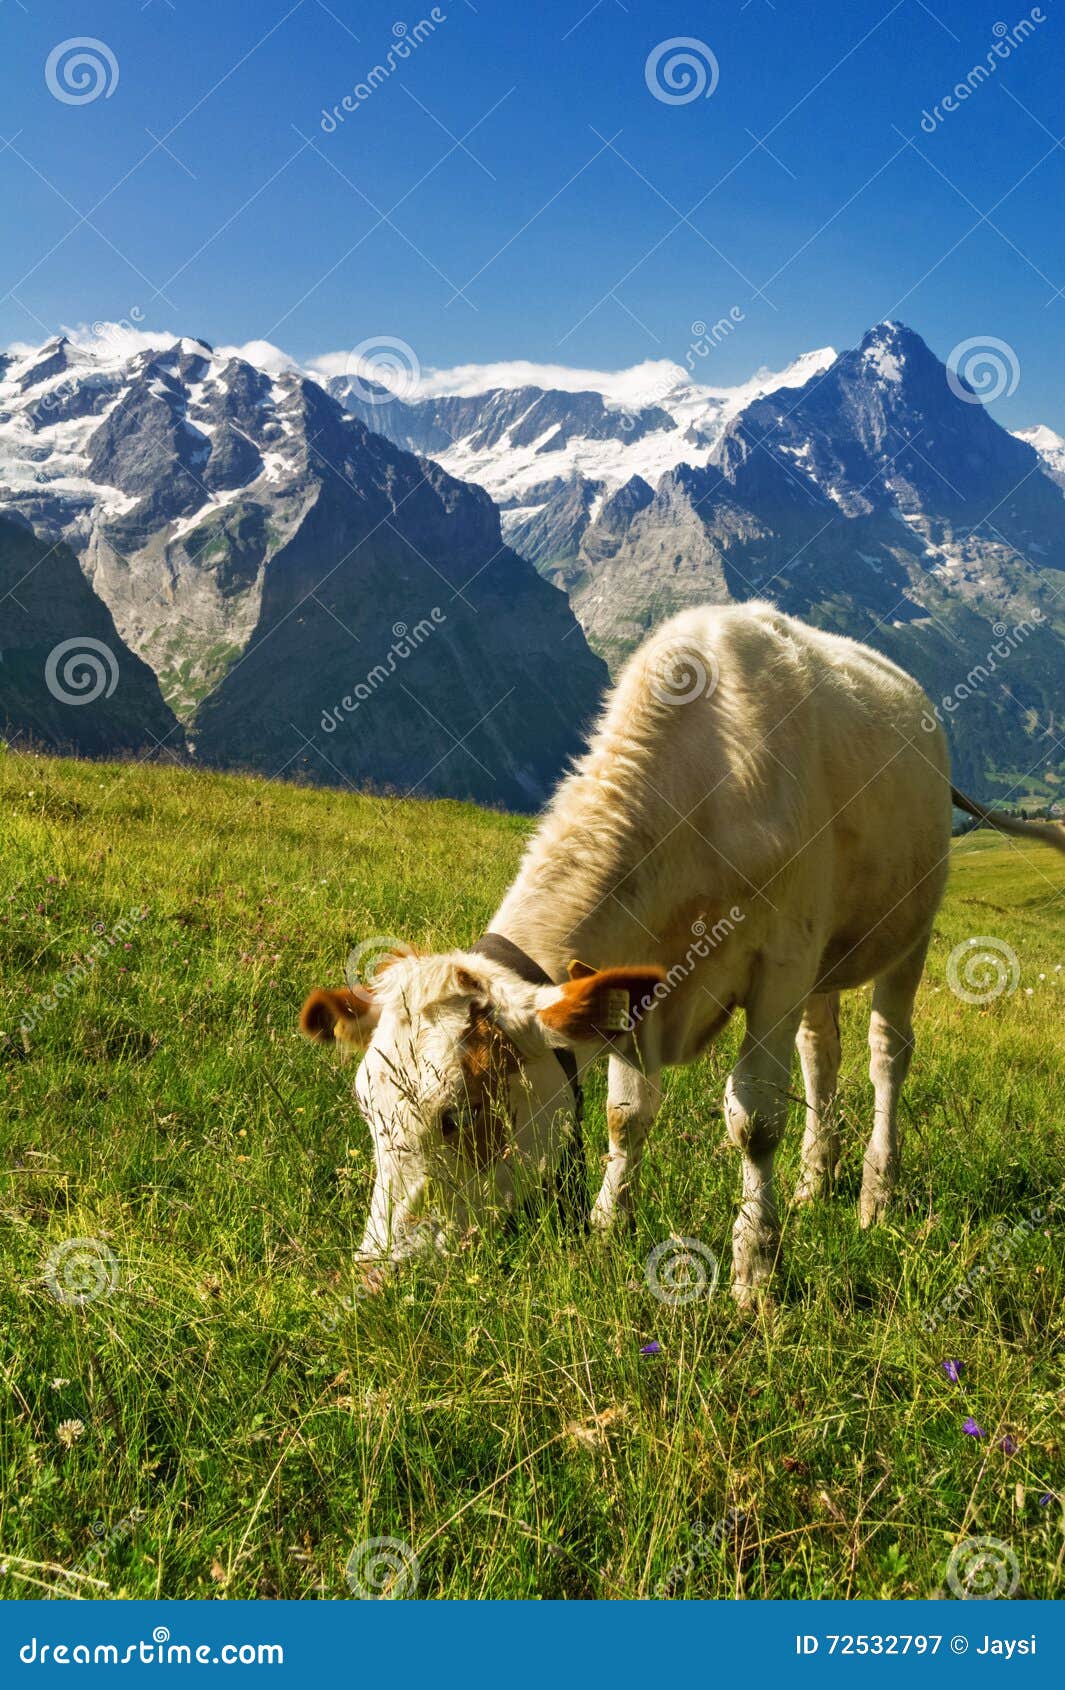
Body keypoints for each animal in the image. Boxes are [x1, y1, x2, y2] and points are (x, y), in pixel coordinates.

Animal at [300, 608, 1065, 1304]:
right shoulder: (639, 984)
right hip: (824, 965)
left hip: (909, 933)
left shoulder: (779, 965)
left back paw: (875, 1194)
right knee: (822, 1055)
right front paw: (608, 1228)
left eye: (459, 1114)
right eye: (366, 1109)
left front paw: (755, 1273)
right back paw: (815, 1181)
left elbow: (754, 1122)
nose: (374, 1277)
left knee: (887, 1055)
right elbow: (624, 1116)